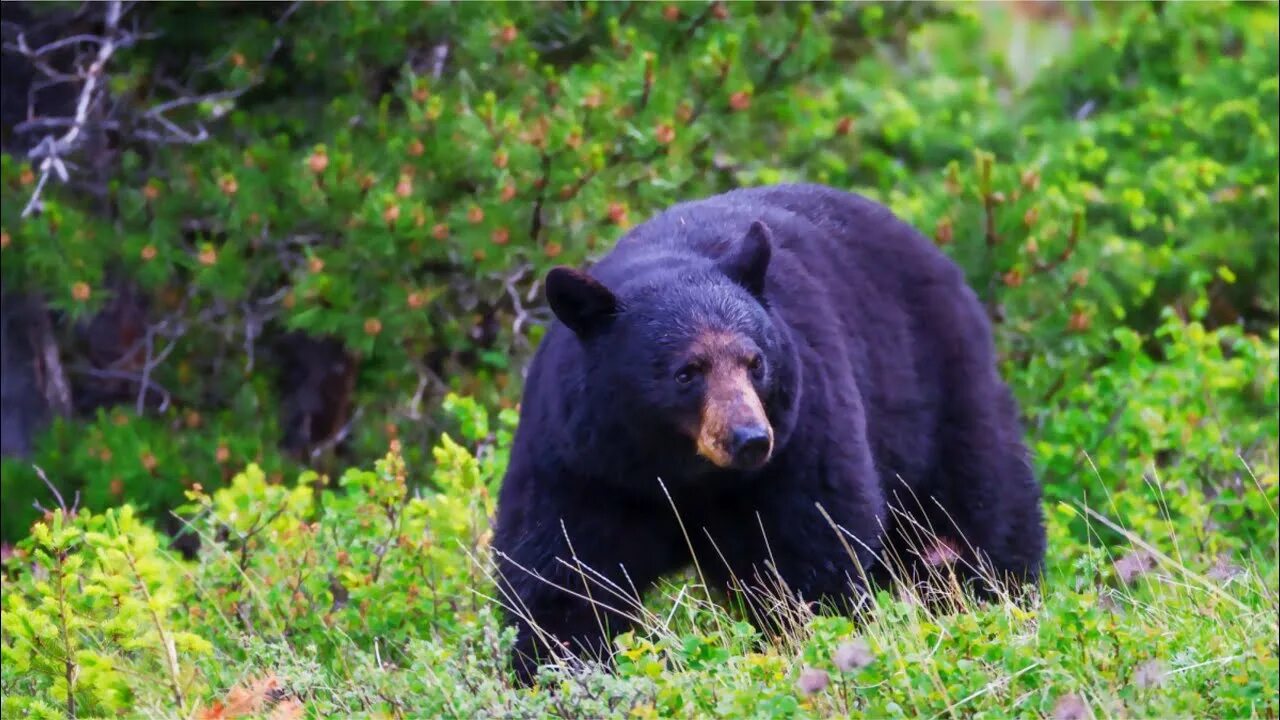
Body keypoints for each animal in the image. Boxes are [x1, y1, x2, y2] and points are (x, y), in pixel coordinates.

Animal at [494, 181, 1044, 681]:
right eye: (686, 372)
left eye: (754, 361)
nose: (749, 439)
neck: (684, 474)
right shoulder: (583, 462)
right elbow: (562, 574)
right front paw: (558, 669)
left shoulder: (801, 438)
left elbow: (810, 551)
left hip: (941, 395)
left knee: (980, 509)